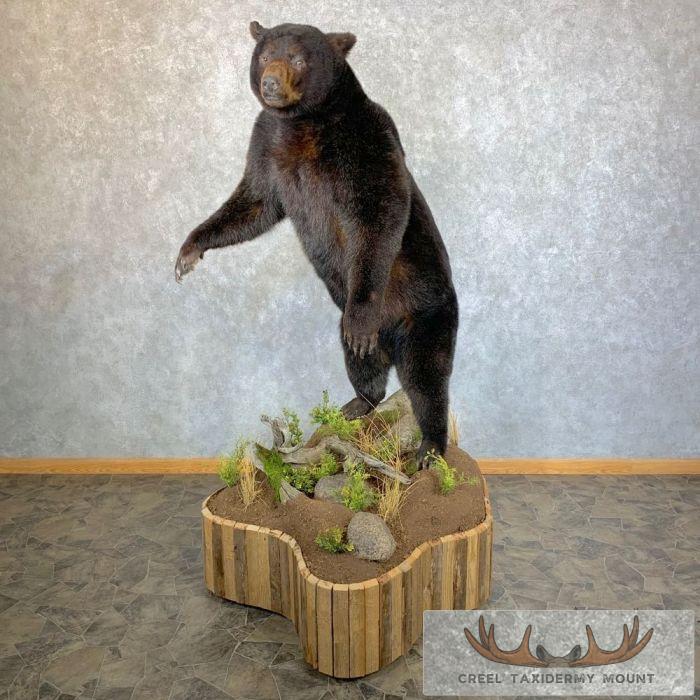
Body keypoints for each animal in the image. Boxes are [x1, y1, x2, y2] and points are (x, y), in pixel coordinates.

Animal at [175, 21, 458, 467]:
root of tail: (391, 338)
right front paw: (190, 250)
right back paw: (356, 403)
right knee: (363, 364)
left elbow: (381, 212)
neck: (303, 120)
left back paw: (429, 447)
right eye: (264, 53)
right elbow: (255, 203)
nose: (270, 82)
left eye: (296, 57)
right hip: (350, 332)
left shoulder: (367, 137)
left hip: (426, 313)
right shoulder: (267, 144)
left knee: (426, 377)